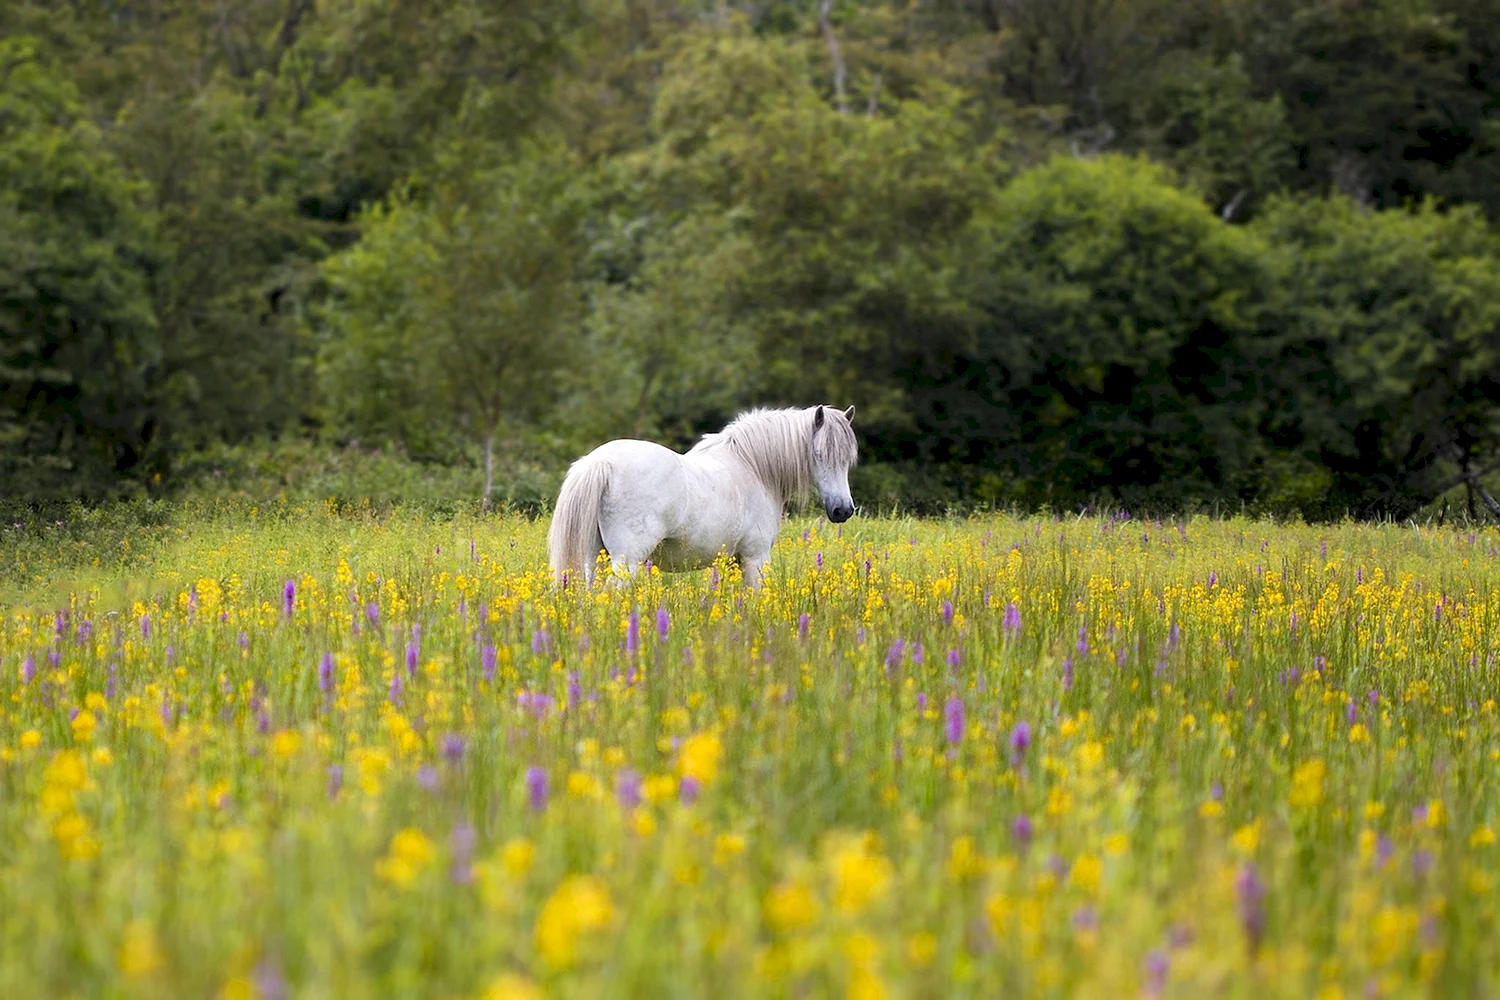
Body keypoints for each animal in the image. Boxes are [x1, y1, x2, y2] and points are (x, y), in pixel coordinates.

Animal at [548, 405, 857, 586]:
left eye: (848, 459)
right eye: (819, 454)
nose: (843, 510)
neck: (753, 466)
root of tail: (602, 462)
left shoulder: (732, 561)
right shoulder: (755, 558)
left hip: (594, 558)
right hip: (627, 561)